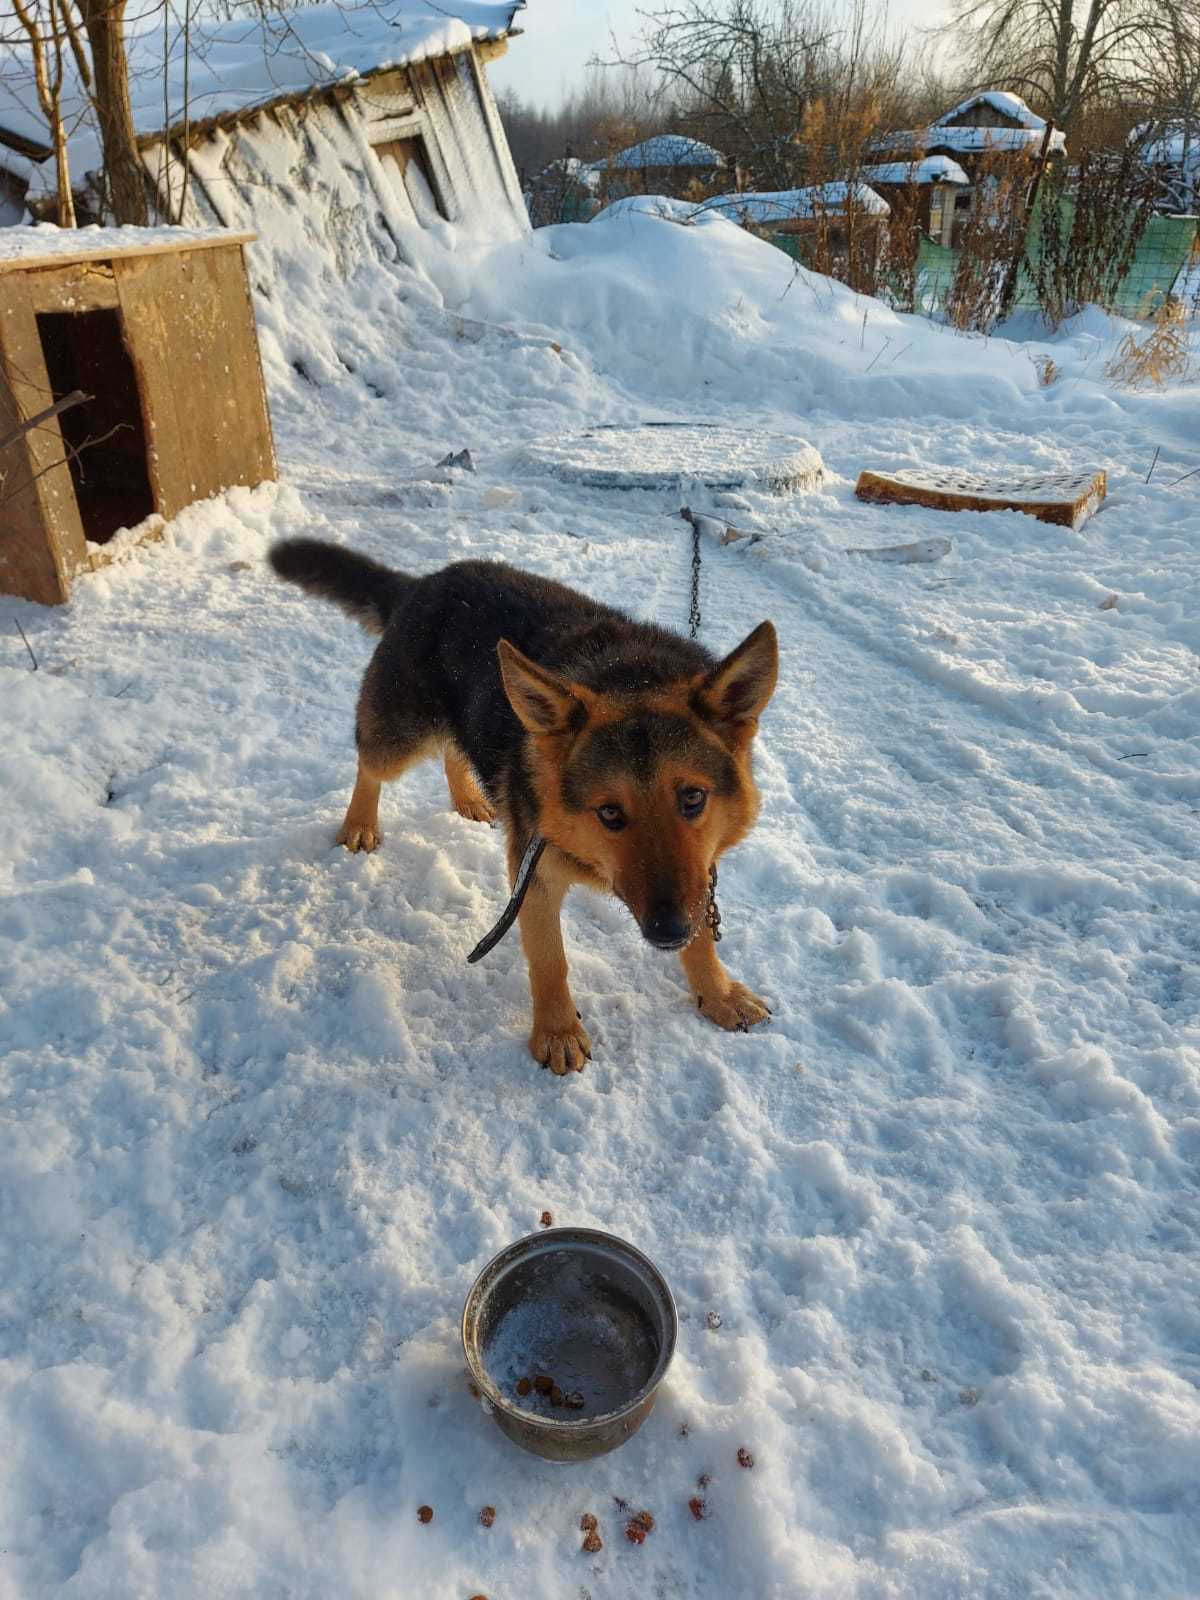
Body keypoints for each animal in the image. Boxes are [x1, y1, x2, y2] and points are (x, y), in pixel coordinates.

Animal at [272, 537, 780, 1075]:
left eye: (692, 798)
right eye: (610, 812)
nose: (668, 929)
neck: (633, 679)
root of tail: (427, 582)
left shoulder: (700, 868)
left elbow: (703, 933)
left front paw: (716, 994)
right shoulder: (532, 874)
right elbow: (550, 959)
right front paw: (558, 1032)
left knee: (454, 749)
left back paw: (469, 798)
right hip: (399, 737)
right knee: (370, 765)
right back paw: (360, 824)